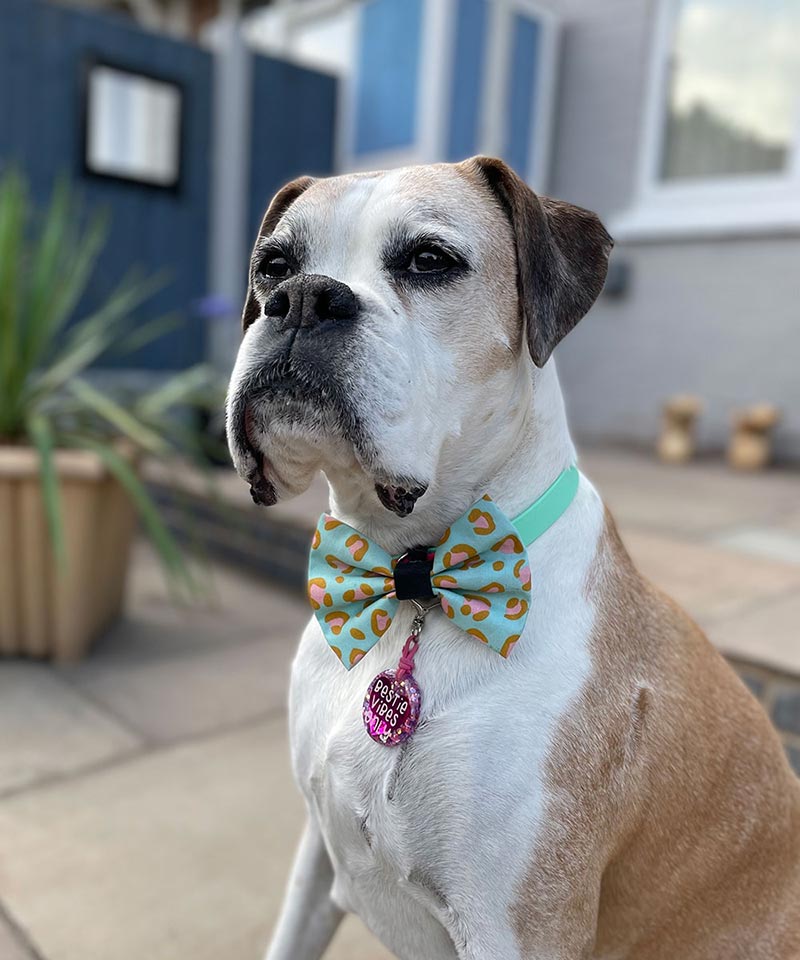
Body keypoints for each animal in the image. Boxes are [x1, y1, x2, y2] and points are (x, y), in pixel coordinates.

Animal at [225, 154, 800, 956]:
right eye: (274, 266)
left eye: (430, 260)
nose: (304, 299)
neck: (411, 582)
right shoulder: (316, 859)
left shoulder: (515, 926)